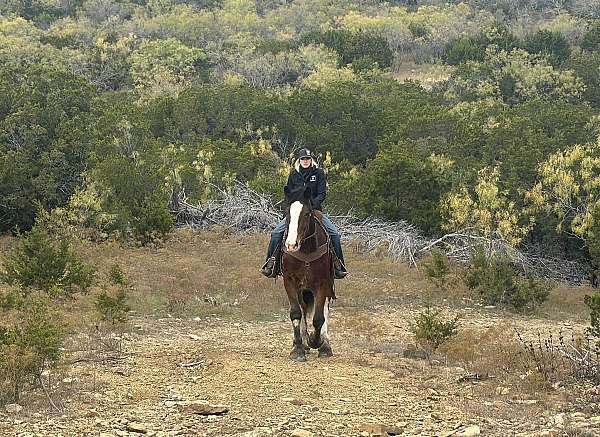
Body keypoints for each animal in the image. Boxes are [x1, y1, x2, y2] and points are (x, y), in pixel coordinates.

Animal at [282, 186, 336, 360]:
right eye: (287, 213)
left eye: (306, 214)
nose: (291, 245)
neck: (306, 250)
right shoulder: (289, 281)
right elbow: (296, 313)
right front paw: (298, 349)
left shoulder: (322, 283)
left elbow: (319, 318)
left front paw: (317, 342)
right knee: (304, 309)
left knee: (323, 310)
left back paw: (324, 344)